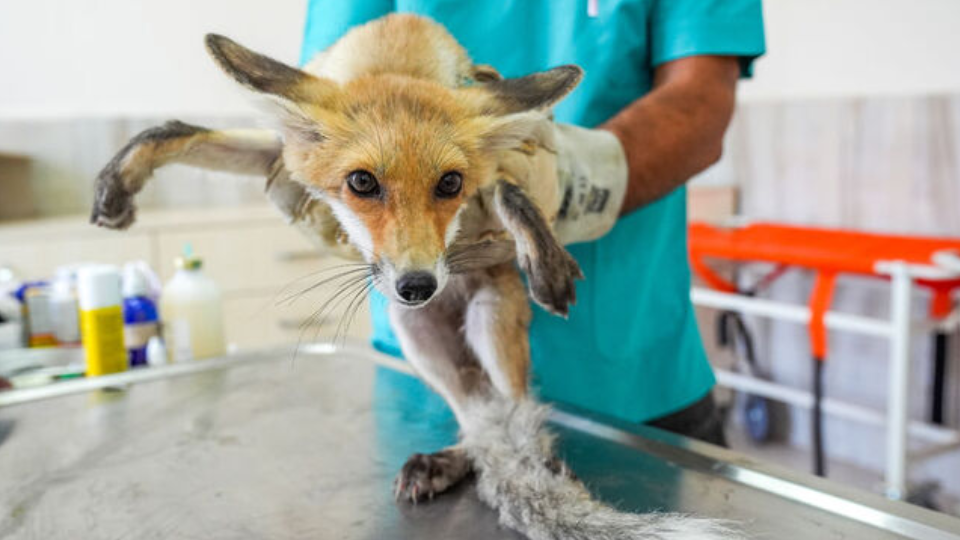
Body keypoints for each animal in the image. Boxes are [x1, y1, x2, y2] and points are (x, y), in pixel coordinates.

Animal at [90, 13, 736, 540]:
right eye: (362, 183)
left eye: (449, 184)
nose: (420, 286)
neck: (395, 48)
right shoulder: (280, 155)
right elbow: (180, 132)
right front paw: (121, 179)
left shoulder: (503, 162)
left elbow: (512, 193)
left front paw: (544, 252)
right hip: (416, 338)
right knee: (476, 416)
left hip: (491, 321)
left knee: (507, 414)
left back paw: (506, 462)